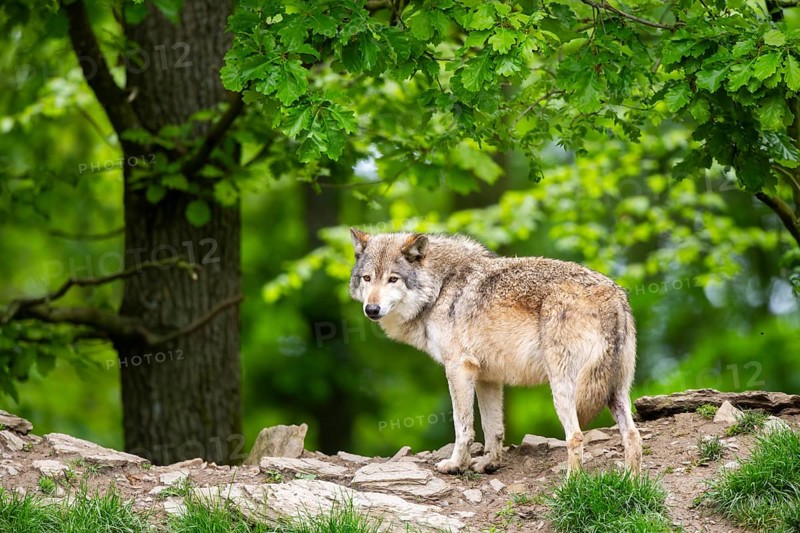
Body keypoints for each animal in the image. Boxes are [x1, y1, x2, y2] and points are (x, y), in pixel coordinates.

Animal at [348, 229, 642, 475]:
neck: (440, 288)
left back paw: (571, 486)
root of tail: (612, 296)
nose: (371, 309)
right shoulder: (488, 377)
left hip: (564, 389)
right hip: (615, 391)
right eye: (367, 278)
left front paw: (455, 465)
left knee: (576, 436)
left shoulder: (458, 368)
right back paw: (631, 484)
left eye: (393, 279)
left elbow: (463, 426)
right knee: (633, 436)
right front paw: (489, 464)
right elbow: (493, 429)